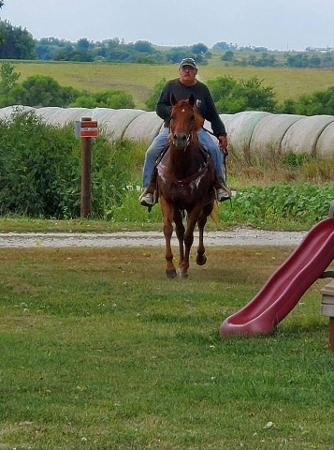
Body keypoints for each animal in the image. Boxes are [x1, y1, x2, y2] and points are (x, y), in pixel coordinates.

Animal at [157, 94, 217, 278]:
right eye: (172, 116)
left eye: (191, 117)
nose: (180, 138)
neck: (180, 169)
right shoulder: (168, 200)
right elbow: (170, 229)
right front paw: (170, 267)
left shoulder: (197, 203)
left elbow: (189, 235)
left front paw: (184, 267)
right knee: (180, 230)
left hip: (208, 203)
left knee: (201, 223)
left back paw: (199, 256)